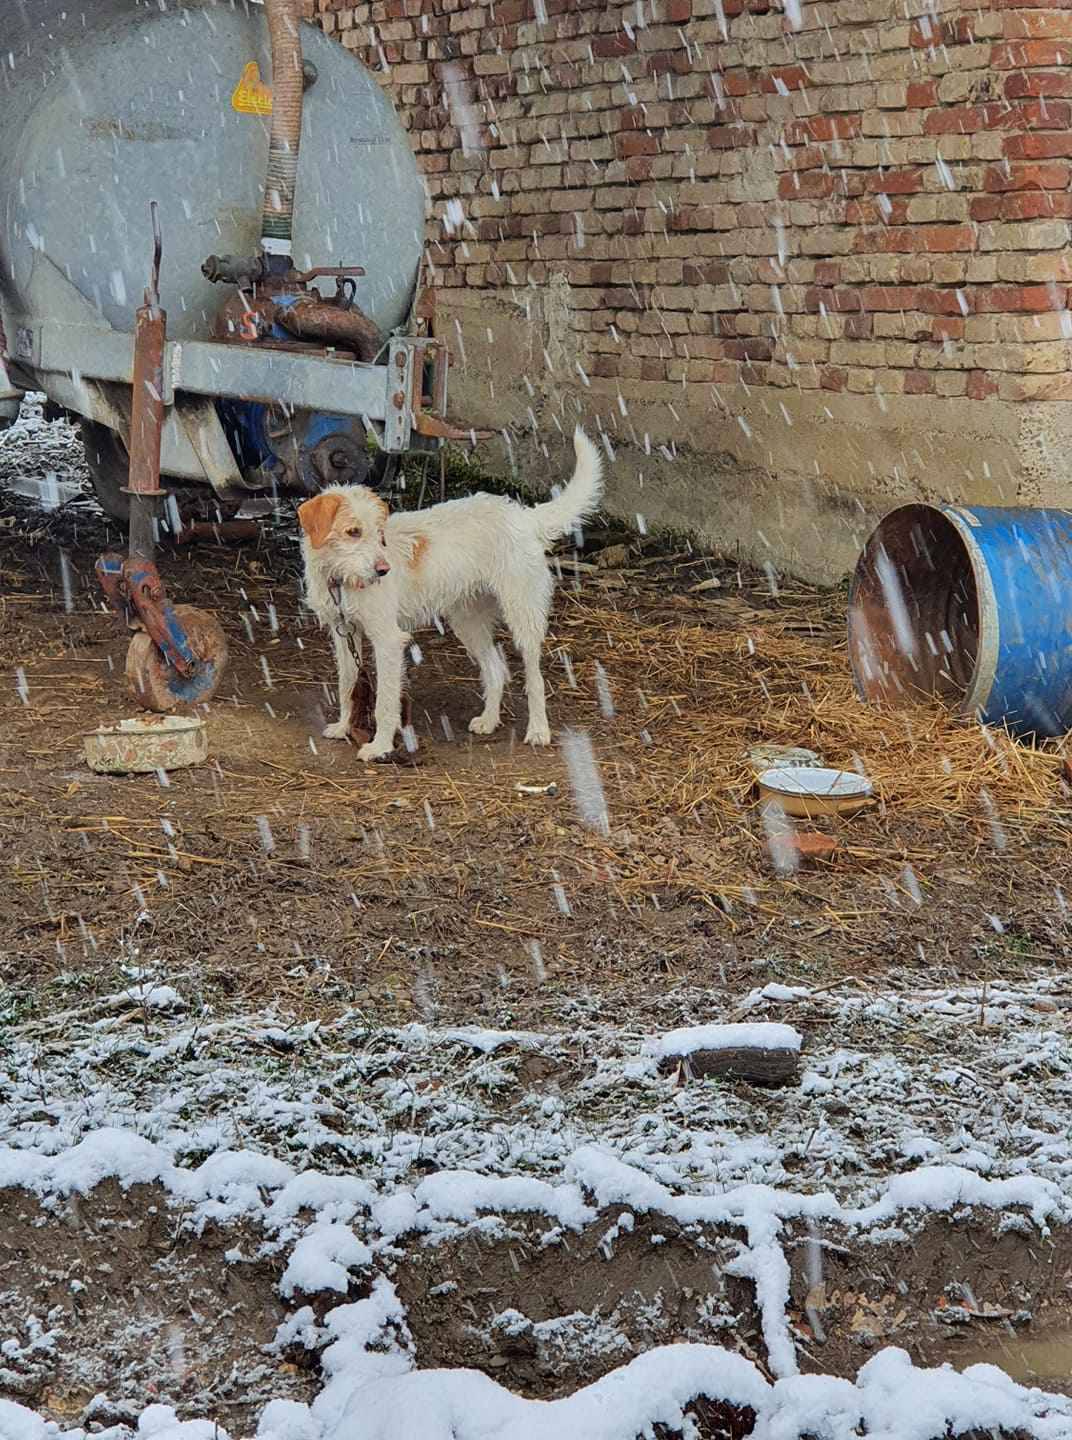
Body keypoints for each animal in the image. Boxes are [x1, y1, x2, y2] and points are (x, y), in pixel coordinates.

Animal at [299, 426, 602, 766]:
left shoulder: (388, 641)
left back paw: (538, 730)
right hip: (467, 621)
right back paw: (489, 720)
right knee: (496, 669)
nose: (383, 570)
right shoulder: (344, 635)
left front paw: (381, 746)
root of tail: (523, 516)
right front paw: (343, 727)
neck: (340, 578)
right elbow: (346, 685)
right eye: (353, 532)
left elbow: (385, 702)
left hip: (522, 615)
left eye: (380, 535)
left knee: (534, 677)